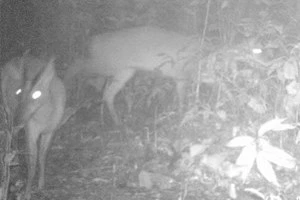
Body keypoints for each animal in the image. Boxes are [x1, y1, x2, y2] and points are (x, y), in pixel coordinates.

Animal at [1, 56, 66, 200]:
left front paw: (41, 185)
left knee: (14, 133)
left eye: (37, 94)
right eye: (19, 92)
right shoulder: (30, 129)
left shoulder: (51, 130)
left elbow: (42, 156)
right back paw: (14, 160)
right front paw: (27, 193)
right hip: (8, 109)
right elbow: (32, 162)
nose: (18, 118)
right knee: (10, 133)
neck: (44, 118)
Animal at [65, 25, 197, 124]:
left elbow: (165, 92)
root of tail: (94, 40)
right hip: (105, 65)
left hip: (124, 71)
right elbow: (181, 97)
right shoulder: (182, 75)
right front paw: (181, 116)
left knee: (105, 91)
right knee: (77, 66)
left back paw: (116, 120)